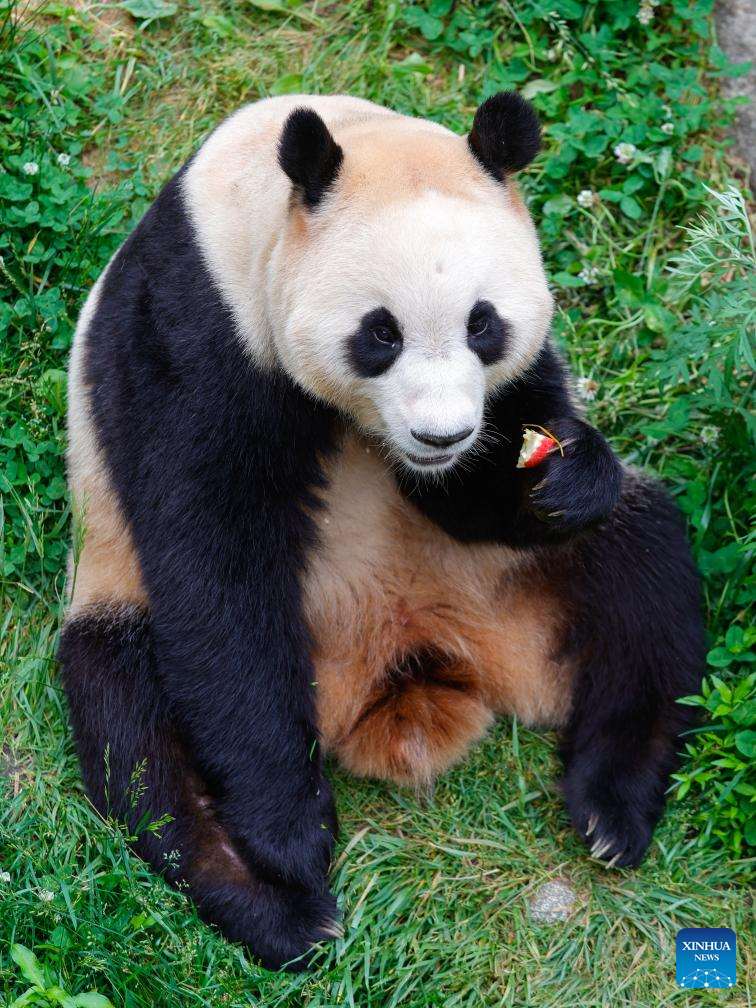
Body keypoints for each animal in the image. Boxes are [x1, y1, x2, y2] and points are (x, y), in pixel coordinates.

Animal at [57, 92, 705, 967]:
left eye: (483, 325)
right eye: (380, 332)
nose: (442, 436)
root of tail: (401, 661)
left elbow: (500, 476)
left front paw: (560, 472)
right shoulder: (188, 329)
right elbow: (213, 555)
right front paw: (289, 832)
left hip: (505, 581)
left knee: (644, 569)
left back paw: (613, 807)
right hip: (118, 585)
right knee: (134, 732)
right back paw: (279, 908)